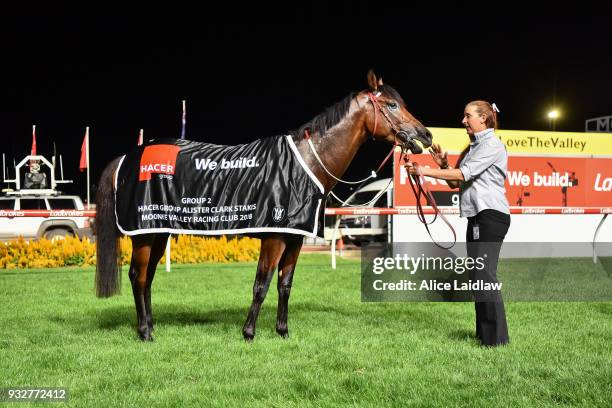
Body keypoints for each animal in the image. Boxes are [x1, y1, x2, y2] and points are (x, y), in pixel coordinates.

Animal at [94, 71, 430, 342]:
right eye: (392, 105)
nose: (425, 135)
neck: (304, 163)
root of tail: (128, 157)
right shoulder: (274, 237)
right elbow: (261, 284)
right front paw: (249, 332)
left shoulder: (294, 239)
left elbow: (284, 285)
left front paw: (282, 331)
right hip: (144, 233)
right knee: (138, 277)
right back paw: (145, 332)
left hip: (158, 230)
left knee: (147, 278)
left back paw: (150, 326)